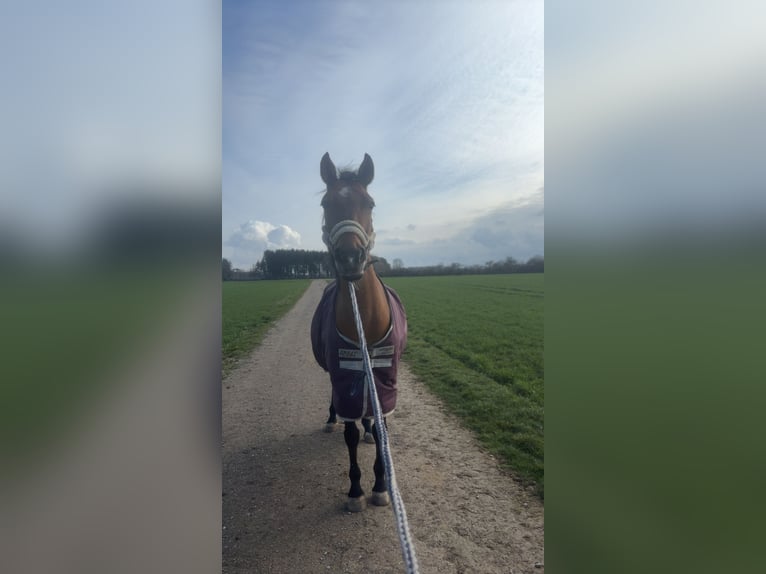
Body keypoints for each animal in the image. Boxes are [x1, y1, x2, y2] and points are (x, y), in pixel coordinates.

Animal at [310, 152, 408, 512]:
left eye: (370, 202)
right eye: (326, 203)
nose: (350, 257)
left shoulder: (383, 380)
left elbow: (381, 431)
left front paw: (380, 486)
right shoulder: (344, 376)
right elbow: (349, 433)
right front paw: (355, 490)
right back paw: (331, 418)